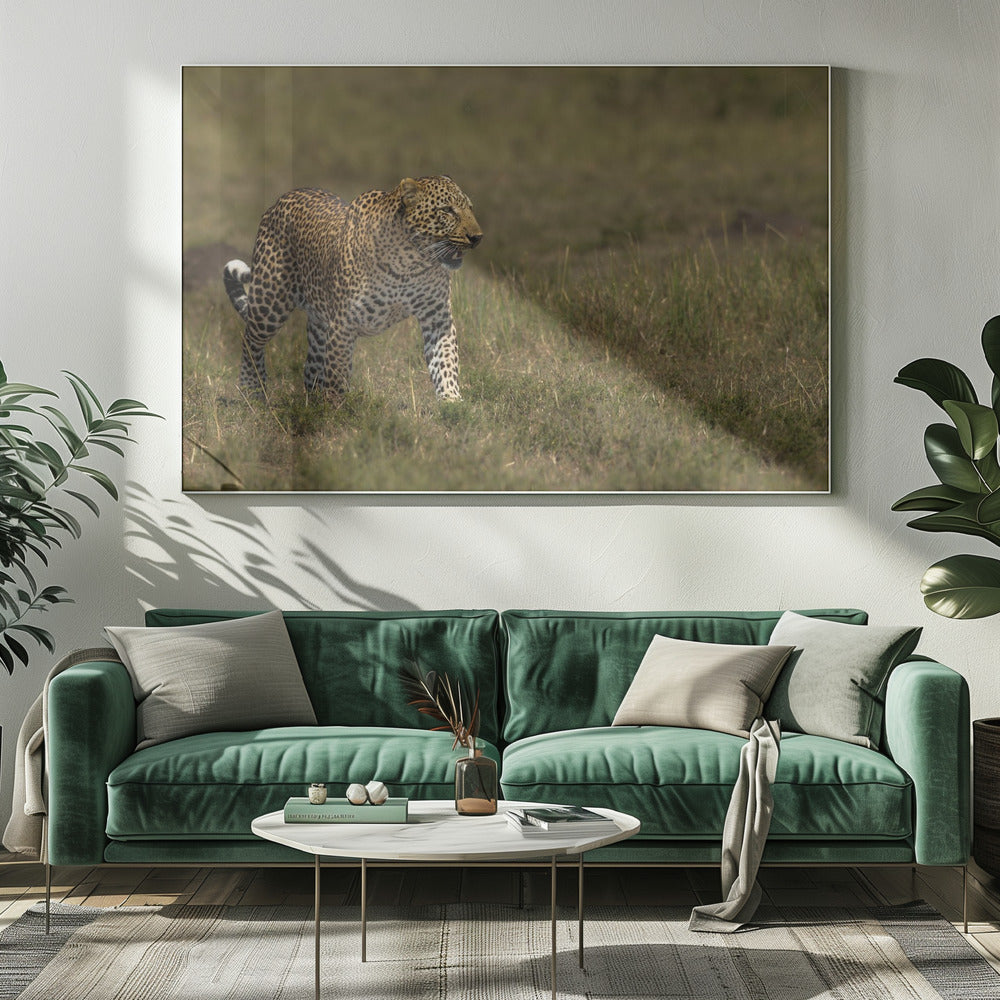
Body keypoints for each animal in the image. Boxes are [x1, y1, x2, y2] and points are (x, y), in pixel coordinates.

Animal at [223, 175, 483, 402]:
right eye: (447, 210)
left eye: (470, 208)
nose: (477, 237)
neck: (411, 263)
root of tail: (279, 200)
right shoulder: (344, 324)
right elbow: (338, 374)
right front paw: (338, 411)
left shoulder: (437, 317)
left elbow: (445, 360)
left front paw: (451, 400)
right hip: (270, 302)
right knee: (250, 340)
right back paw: (252, 390)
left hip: (319, 322)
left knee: (311, 367)